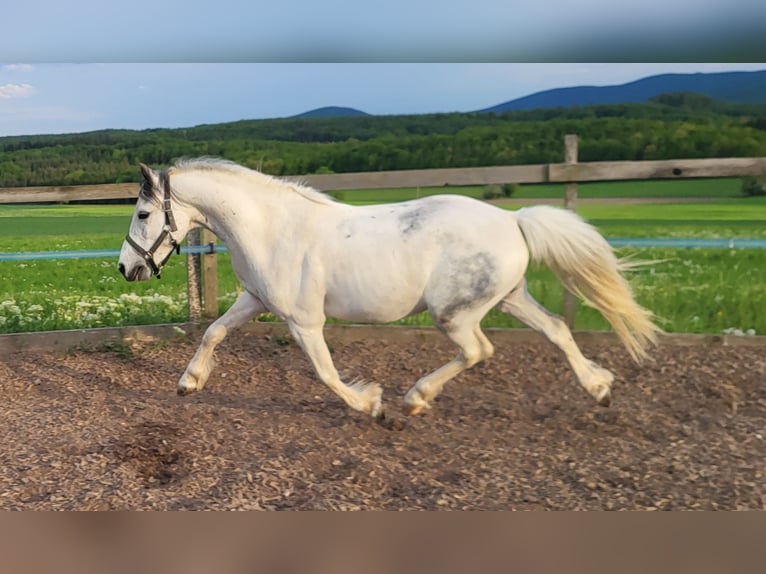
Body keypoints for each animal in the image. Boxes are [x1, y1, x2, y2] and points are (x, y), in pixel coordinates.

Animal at [118, 158, 659, 420]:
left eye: (143, 213)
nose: (126, 268)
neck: (272, 228)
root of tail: (513, 220)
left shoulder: (304, 321)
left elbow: (326, 373)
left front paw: (371, 405)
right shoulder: (255, 300)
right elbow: (214, 332)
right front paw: (188, 383)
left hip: (455, 313)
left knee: (478, 350)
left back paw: (416, 398)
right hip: (510, 297)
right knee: (557, 329)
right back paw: (599, 388)